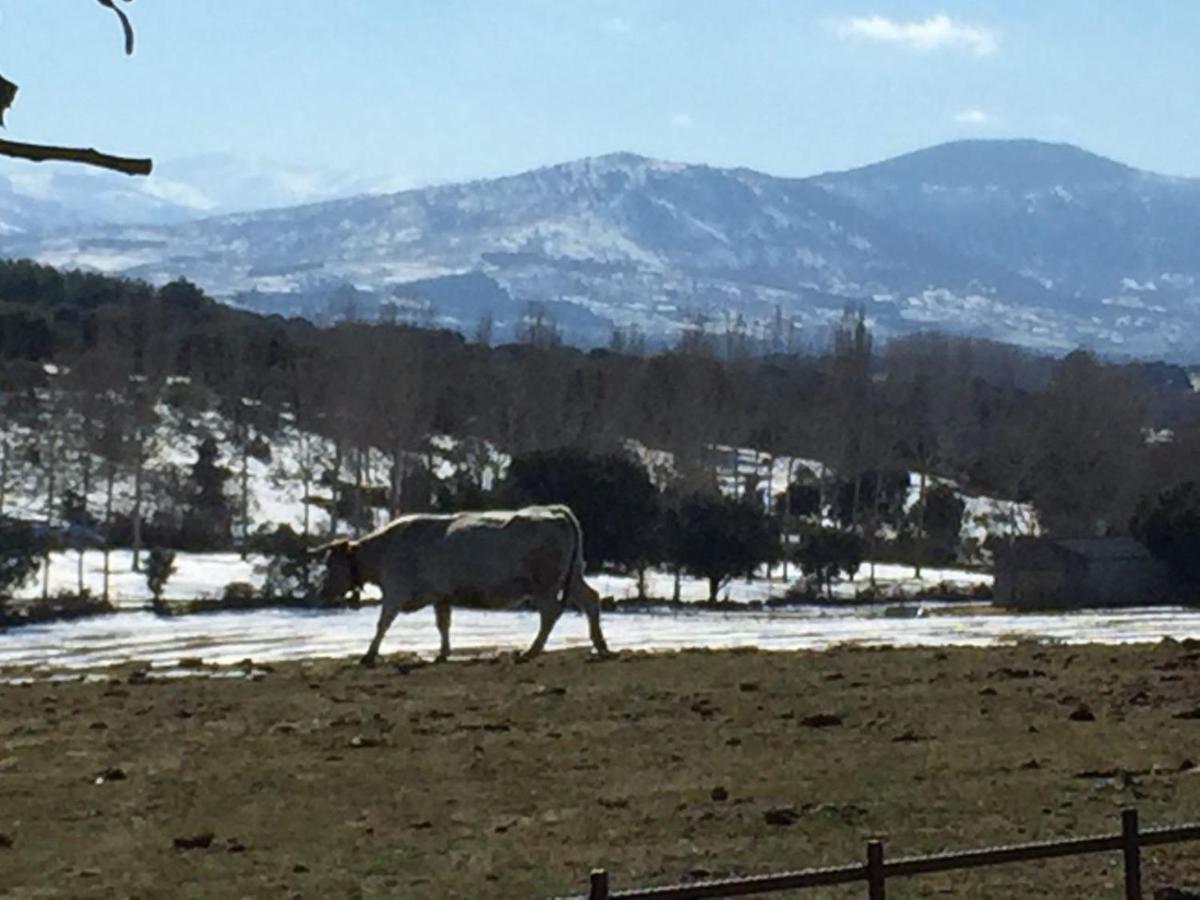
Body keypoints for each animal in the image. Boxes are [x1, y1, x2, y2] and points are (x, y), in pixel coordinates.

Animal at [312, 504, 609, 667]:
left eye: (330, 564)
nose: (321, 592)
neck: (384, 549)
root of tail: (553, 509)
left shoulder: (396, 592)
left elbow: (382, 624)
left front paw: (368, 655)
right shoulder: (441, 597)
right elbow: (443, 624)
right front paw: (443, 653)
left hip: (544, 585)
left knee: (550, 614)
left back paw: (531, 651)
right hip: (572, 577)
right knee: (591, 599)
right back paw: (601, 646)